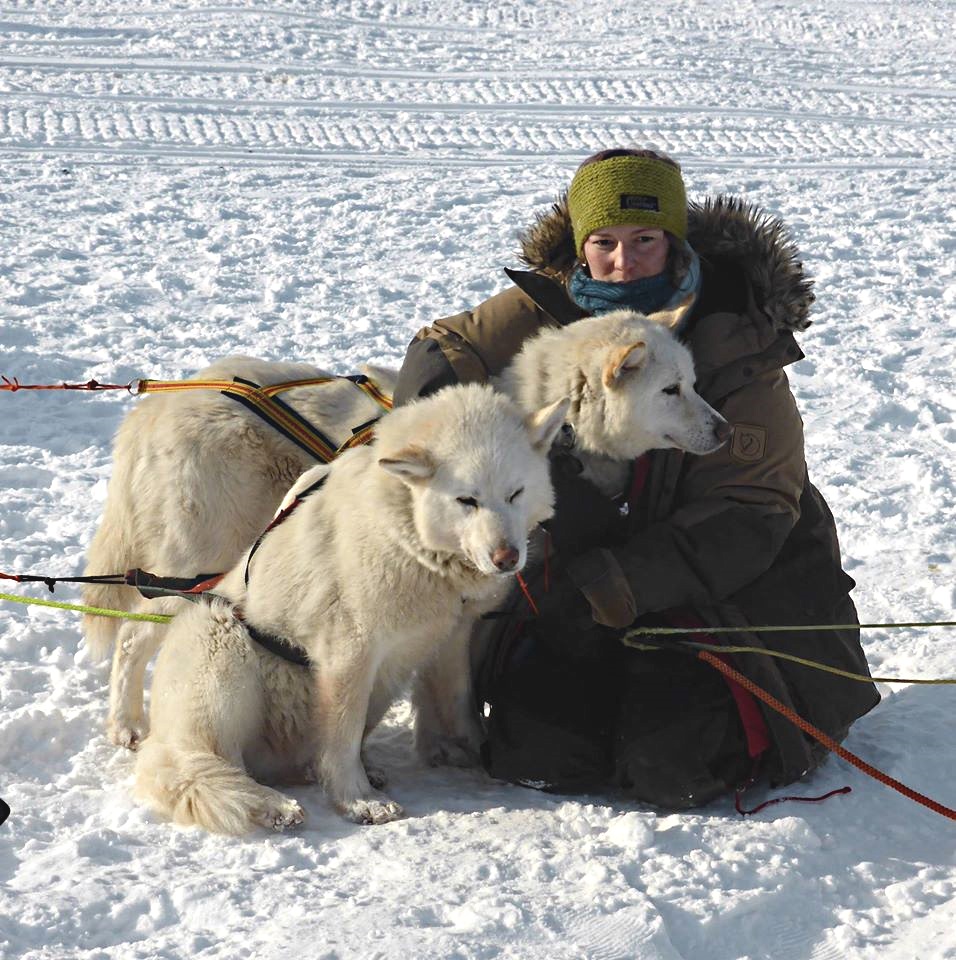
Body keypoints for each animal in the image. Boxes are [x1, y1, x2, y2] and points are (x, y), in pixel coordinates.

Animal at [134, 384, 568, 832]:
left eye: (515, 493)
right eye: (467, 500)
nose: (507, 558)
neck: (410, 539)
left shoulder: (450, 638)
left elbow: (459, 702)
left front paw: (475, 751)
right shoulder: (351, 652)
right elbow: (342, 734)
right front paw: (358, 800)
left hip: (383, 683)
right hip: (222, 638)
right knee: (202, 767)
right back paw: (269, 804)